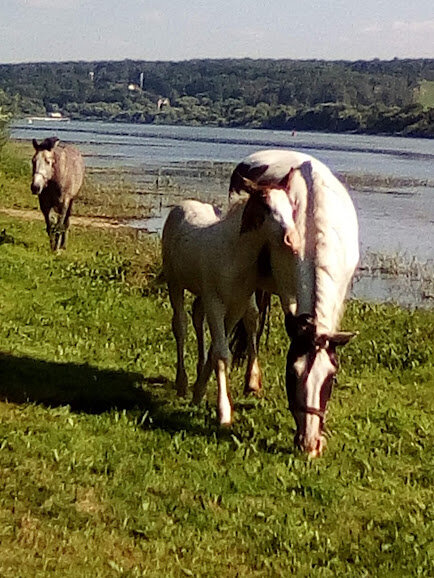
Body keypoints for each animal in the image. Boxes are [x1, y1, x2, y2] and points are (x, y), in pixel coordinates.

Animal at [161, 176, 300, 424]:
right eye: (265, 207)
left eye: (291, 207)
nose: (291, 239)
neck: (233, 255)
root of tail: (182, 206)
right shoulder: (216, 302)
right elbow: (222, 352)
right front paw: (223, 412)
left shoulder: (237, 305)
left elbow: (218, 347)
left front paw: (200, 391)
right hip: (174, 281)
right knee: (180, 325)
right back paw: (182, 383)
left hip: (202, 293)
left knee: (197, 315)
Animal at [229, 148, 358, 454]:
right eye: (292, 373)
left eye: (331, 377)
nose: (309, 444)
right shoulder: (289, 294)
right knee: (252, 320)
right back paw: (252, 380)